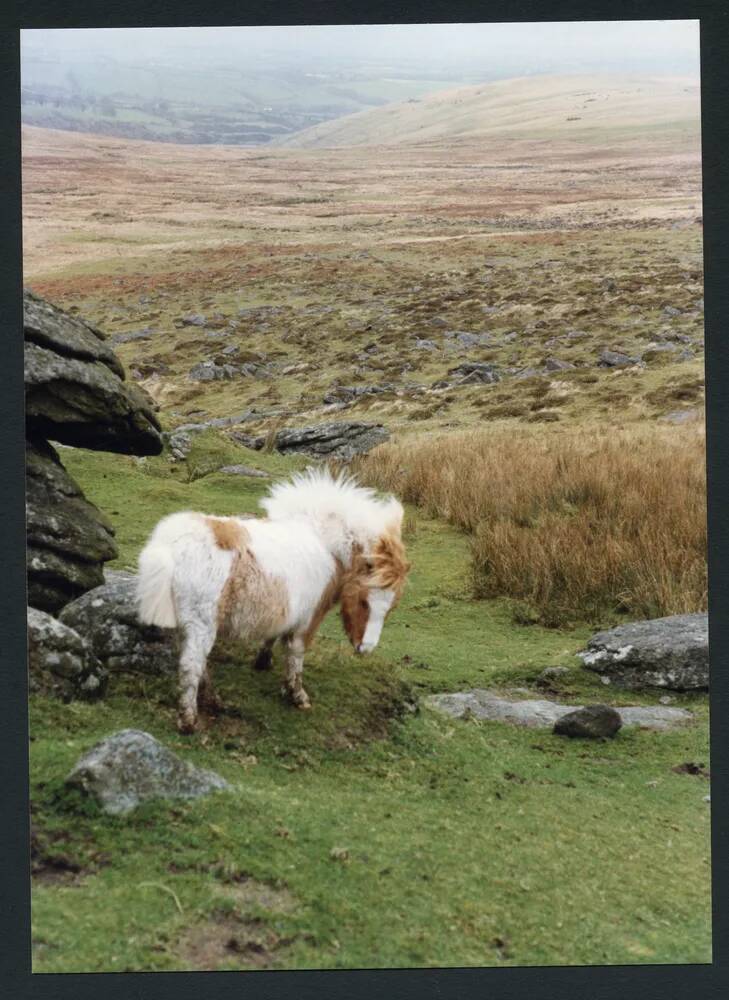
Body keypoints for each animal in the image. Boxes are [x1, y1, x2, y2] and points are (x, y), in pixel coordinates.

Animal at [136, 468, 410, 736]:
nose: (366, 649)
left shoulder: (286, 613)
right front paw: (297, 696)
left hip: (186, 624)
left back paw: (212, 700)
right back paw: (189, 721)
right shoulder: (307, 621)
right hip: (201, 624)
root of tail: (169, 548)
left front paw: (263, 662)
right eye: (364, 601)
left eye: (392, 607)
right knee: (190, 665)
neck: (325, 542)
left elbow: (274, 636)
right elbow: (296, 656)